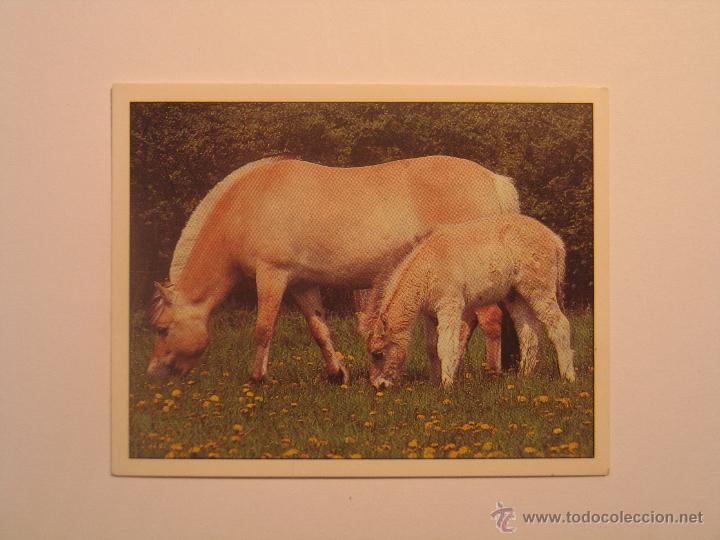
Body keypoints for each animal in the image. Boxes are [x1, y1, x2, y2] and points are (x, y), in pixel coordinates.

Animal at [146, 155, 520, 384]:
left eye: (163, 329)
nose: (153, 373)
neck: (251, 205)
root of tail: (493, 180)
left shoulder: (272, 275)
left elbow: (264, 328)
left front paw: (258, 379)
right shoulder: (301, 285)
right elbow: (320, 330)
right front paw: (337, 375)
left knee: (488, 320)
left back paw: (480, 371)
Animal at [364, 215, 576, 389]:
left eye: (378, 354)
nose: (378, 385)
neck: (429, 267)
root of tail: (555, 240)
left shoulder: (450, 307)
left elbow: (446, 345)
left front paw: (447, 385)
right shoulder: (431, 316)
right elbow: (432, 347)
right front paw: (436, 381)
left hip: (540, 292)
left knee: (560, 325)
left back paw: (568, 376)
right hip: (517, 297)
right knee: (529, 334)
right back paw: (523, 377)